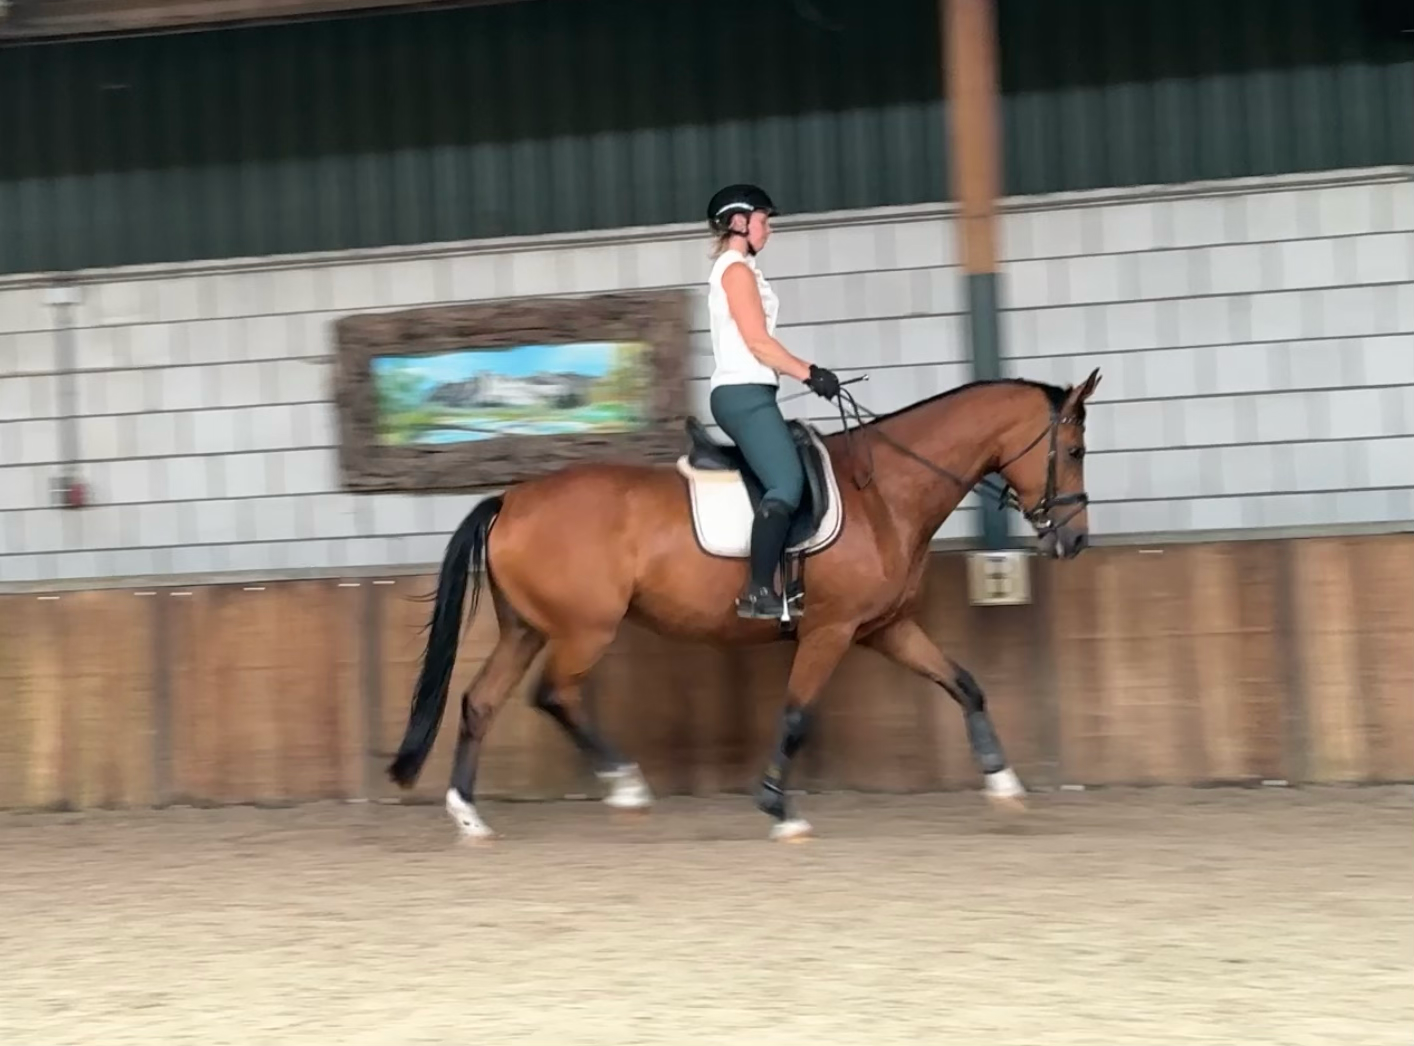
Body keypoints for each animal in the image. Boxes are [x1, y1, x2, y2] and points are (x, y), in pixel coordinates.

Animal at [387, 368, 1101, 841]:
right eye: (1072, 450)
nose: (1073, 540)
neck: (884, 492)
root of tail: (511, 498)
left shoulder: (886, 628)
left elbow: (965, 684)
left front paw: (1003, 784)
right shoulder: (830, 631)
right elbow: (795, 715)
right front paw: (779, 809)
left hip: (528, 629)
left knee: (481, 701)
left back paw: (468, 814)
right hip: (584, 629)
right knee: (553, 694)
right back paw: (627, 787)